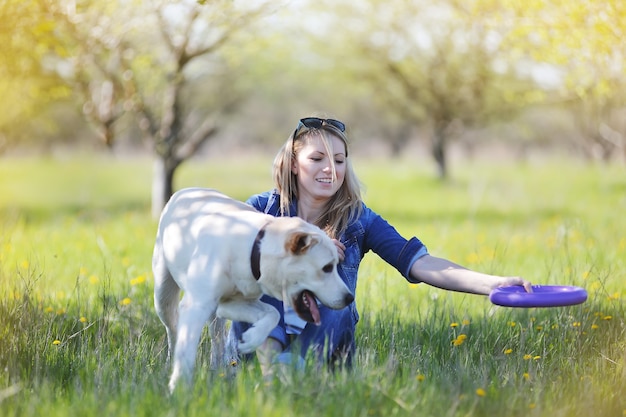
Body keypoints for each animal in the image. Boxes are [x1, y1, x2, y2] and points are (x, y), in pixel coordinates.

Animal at [152, 187, 352, 392]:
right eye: (327, 267)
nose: (349, 298)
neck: (253, 249)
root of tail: (186, 190)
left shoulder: (230, 303)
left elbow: (272, 314)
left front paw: (252, 339)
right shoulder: (196, 306)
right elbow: (186, 351)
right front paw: (179, 389)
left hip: (215, 316)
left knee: (217, 340)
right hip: (163, 298)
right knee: (174, 332)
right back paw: (170, 366)